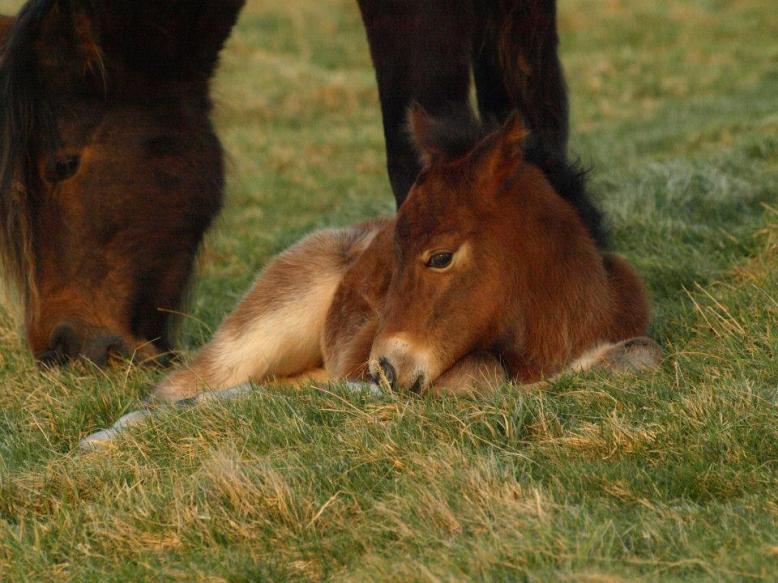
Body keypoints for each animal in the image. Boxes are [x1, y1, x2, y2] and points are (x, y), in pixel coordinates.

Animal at [149, 108, 660, 404]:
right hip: (265, 325)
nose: (384, 370)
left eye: (441, 257)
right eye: (393, 253)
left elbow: (641, 353)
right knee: (176, 388)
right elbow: (482, 374)